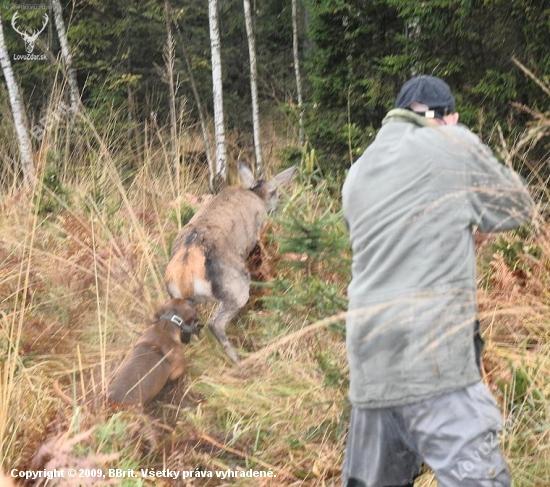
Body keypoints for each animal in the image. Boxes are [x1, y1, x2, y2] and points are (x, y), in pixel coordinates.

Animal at [165, 163, 298, 362]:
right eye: (276, 194)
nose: (277, 212)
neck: (256, 193)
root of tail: (187, 268)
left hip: (178, 297)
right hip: (237, 288)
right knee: (215, 323)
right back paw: (239, 359)